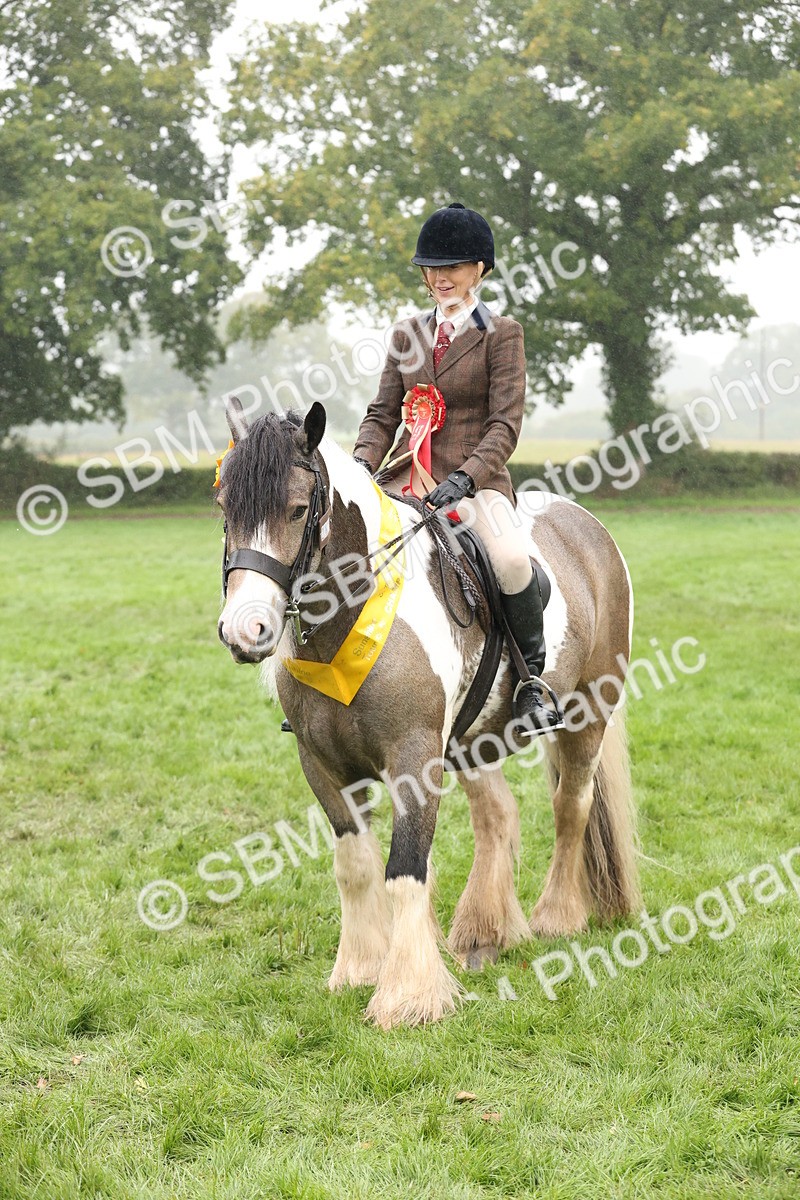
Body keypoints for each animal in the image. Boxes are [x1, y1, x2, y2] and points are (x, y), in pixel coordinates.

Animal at [216, 398, 640, 1029]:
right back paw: (485, 933)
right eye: (225, 508)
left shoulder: (414, 759)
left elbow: (406, 869)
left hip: (589, 710)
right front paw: (359, 969)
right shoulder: (322, 767)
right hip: (472, 740)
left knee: (571, 807)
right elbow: (355, 866)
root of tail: (589, 528)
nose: (246, 630)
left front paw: (408, 996)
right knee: (498, 816)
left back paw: (556, 916)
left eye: (296, 509)